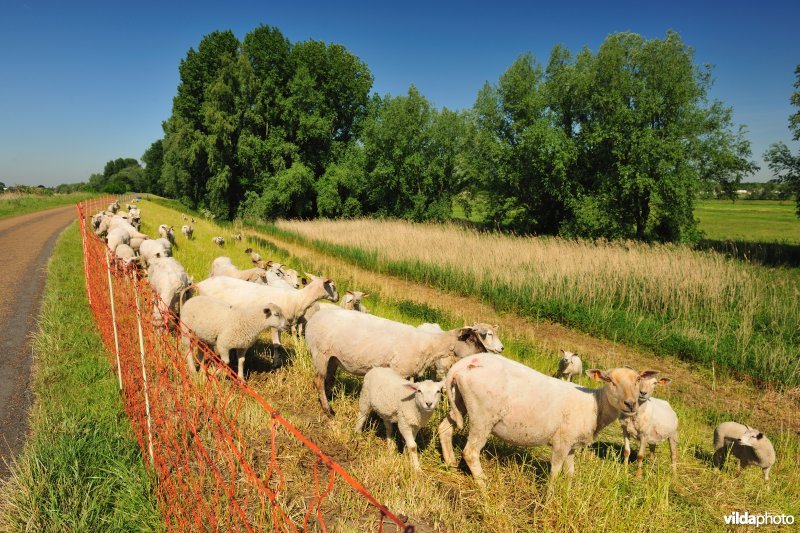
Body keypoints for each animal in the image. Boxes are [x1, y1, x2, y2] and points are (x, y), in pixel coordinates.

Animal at [198, 272, 340, 348]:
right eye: (333, 286)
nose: (338, 297)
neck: (298, 299)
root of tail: (201, 283)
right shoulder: (275, 325)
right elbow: (277, 345)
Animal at [304, 308, 504, 416]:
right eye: (472, 339)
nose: (485, 354)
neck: (430, 345)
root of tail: (314, 318)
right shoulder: (398, 369)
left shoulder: (409, 373)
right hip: (320, 353)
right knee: (318, 380)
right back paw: (328, 410)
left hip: (332, 357)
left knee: (327, 379)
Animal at [438, 354, 656, 486]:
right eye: (609, 380)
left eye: (638, 379)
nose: (631, 404)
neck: (595, 405)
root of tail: (463, 364)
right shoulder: (561, 442)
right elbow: (555, 472)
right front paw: (550, 499)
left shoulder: (571, 445)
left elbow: (570, 472)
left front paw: (567, 493)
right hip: (483, 415)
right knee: (470, 452)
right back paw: (484, 485)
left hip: (459, 401)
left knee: (445, 429)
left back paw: (450, 463)